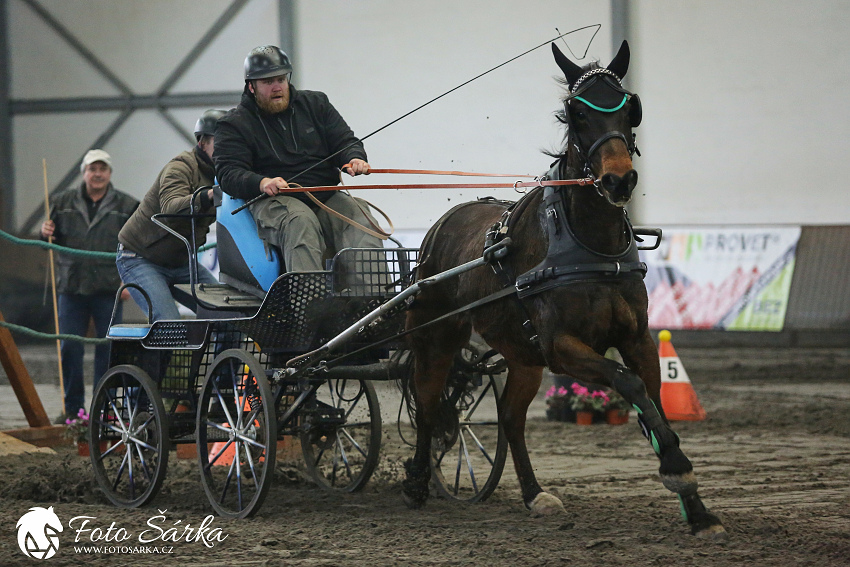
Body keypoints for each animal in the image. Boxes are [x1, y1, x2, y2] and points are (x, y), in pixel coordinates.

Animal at [402, 41, 724, 540]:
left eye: (629, 107)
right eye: (577, 112)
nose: (619, 179)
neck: (589, 244)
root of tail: (440, 227)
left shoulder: (636, 338)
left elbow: (652, 398)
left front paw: (696, 505)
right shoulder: (562, 346)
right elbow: (628, 382)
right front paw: (676, 470)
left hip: (522, 355)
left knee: (510, 417)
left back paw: (535, 494)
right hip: (435, 338)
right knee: (430, 403)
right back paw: (417, 482)